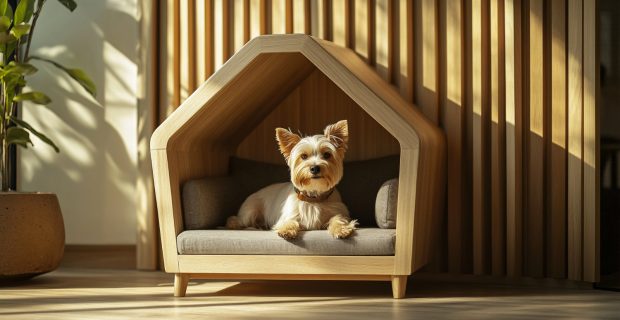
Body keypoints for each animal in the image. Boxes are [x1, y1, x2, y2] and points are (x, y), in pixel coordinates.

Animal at [225, 120, 356, 240]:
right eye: (303, 156)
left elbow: (338, 218)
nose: (314, 168)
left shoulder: (338, 210)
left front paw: (341, 229)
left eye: (327, 155)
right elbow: (289, 221)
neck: (313, 197)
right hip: (250, 211)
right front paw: (286, 230)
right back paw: (234, 224)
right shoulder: (288, 216)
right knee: (238, 219)